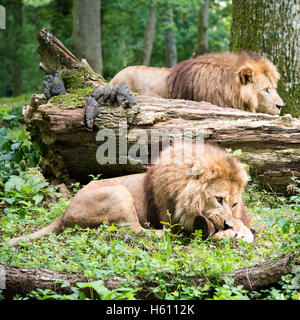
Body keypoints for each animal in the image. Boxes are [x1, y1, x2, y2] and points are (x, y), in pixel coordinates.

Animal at [8, 142, 254, 245]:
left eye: (234, 204)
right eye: (218, 199)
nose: (228, 224)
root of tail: (64, 212)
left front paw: (242, 231)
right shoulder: (173, 218)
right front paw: (229, 234)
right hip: (119, 193)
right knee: (134, 230)